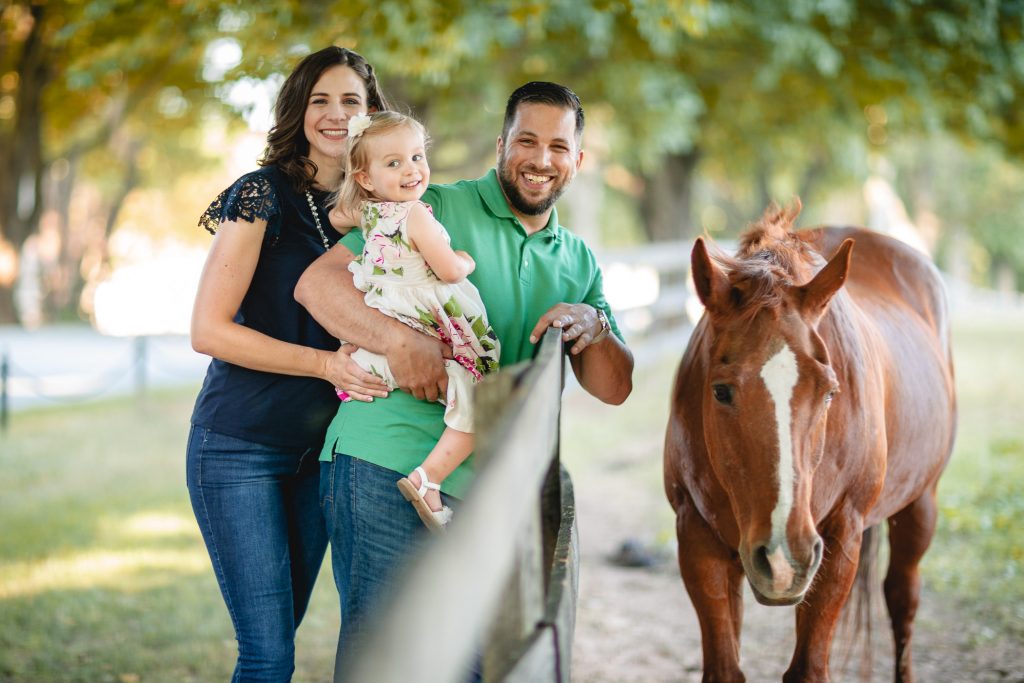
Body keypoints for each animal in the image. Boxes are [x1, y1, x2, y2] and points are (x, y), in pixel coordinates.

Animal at [663, 200, 958, 679]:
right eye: (720, 391)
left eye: (830, 392)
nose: (785, 558)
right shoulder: (695, 537)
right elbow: (725, 666)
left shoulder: (839, 541)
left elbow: (809, 668)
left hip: (920, 504)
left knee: (902, 601)